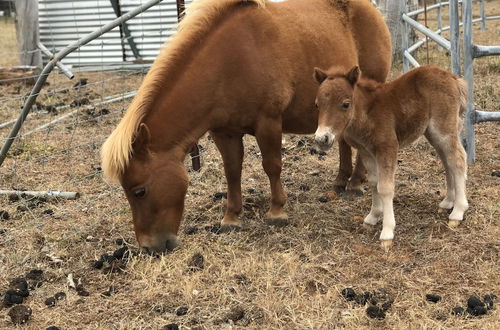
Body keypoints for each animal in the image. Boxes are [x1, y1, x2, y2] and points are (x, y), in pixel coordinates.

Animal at [100, 0, 390, 253]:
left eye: (139, 191)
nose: (149, 248)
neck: (230, 62)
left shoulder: (268, 122)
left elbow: (272, 166)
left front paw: (277, 211)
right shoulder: (224, 133)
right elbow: (232, 171)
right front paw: (231, 217)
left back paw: (354, 183)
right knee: (344, 142)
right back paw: (341, 179)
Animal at [312, 64, 468, 250]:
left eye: (345, 104)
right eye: (317, 105)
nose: (322, 138)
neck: (368, 113)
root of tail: (454, 78)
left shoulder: (388, 148)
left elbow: (385, 188)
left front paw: (387, 232)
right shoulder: (366, 152)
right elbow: (374, 182)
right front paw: (372, 217)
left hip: (444, 128)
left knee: (458, 160)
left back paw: (458, 212)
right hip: (433, 133)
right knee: (447, 162)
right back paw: (447, 203)